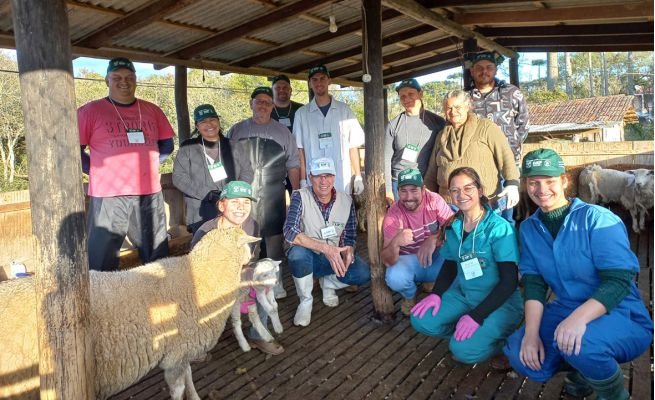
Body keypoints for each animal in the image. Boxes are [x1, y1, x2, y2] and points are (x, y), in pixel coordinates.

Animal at [1, 227, 260, 398]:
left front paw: (195, 396)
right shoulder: (176, 355)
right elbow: (178, 387)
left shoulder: (181, 349)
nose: (254, 255)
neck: (201, 277)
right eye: (247, 244)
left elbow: (189, 376)